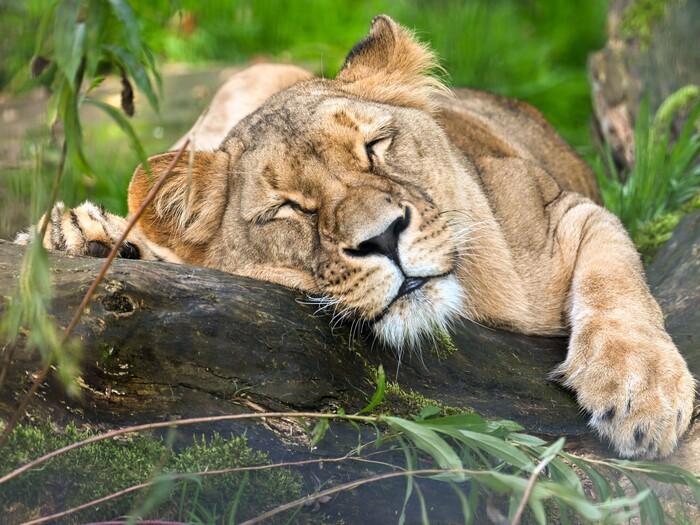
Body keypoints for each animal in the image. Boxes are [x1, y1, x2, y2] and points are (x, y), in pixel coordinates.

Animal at [16, 15, 695, 459]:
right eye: (289, 209)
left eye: (375, 146)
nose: (384, 238)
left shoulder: (568, 212)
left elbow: (618, 278)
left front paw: (640, 392)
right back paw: (81, 235)